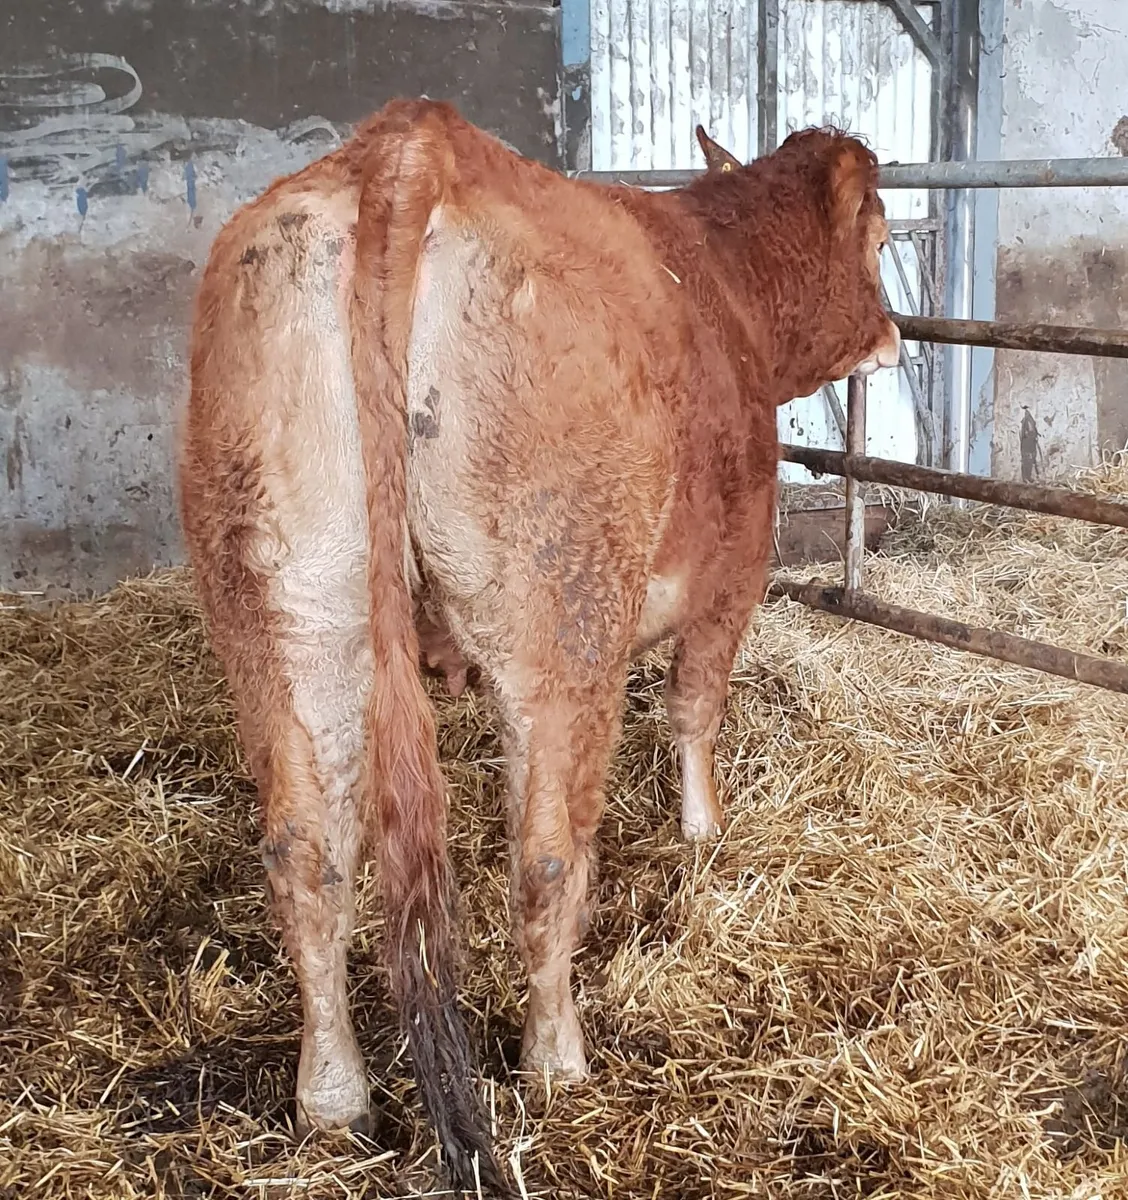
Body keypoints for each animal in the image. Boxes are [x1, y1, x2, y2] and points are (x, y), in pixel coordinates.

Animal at [179, 98, 899, 1194]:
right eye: (884, 236)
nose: (896, 339)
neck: (721, 286)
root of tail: (410, 147)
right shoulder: (734, 573)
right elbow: (693, 705)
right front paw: (703, 833)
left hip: (284, 615)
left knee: (306, 854)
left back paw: (333, 1101)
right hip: (566, 612)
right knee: (550, 854)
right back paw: (558, 1061)